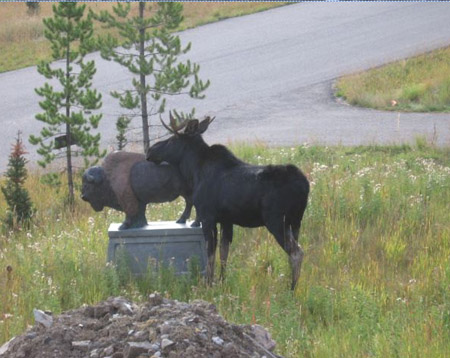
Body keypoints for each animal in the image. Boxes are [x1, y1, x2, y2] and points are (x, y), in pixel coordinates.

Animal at [148, 113, 310, 290]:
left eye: (172, 139)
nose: (150, 150)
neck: (194, 171)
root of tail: (305, 186)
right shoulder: (226, 220)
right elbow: (224, 253)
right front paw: (222, 282)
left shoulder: (207, 216)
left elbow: (211, 253)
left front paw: (208, 284)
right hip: (296, 222)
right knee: (293, 251)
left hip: (277, 220)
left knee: (297, 252)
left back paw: (291, 290)